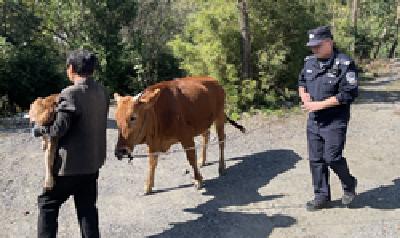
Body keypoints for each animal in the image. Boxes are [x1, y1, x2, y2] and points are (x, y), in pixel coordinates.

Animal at [114, 77, 245, 194]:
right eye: (116, 119)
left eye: (133, 117)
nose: (121, 150)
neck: (159, 113)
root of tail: (215, 81)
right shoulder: (153, 142)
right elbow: (152, 162)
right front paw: (148, 186)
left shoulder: (186, 136)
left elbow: (191, 158)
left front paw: (198, 180)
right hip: (203, 122)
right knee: (206, 135)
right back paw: (202, 161)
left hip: (219, 117)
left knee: (221, 140)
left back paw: (221, 167)